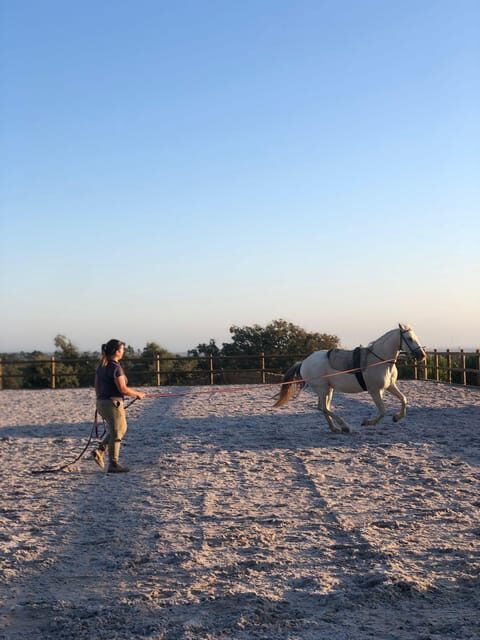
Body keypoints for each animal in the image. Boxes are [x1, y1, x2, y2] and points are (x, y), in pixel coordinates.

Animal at [274, 324, 426, 433]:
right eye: (410, 338)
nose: (422, 355)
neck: (380, 361)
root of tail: (304, 362)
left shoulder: (389, 386)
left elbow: (403, 399)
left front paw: (396, 417)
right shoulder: (374, 391)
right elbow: (383, 411)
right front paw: (367, 422)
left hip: (329, 389)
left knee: (323, 408)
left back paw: (335, 428)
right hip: (322, 389)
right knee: (323, 408)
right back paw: (344, 426)